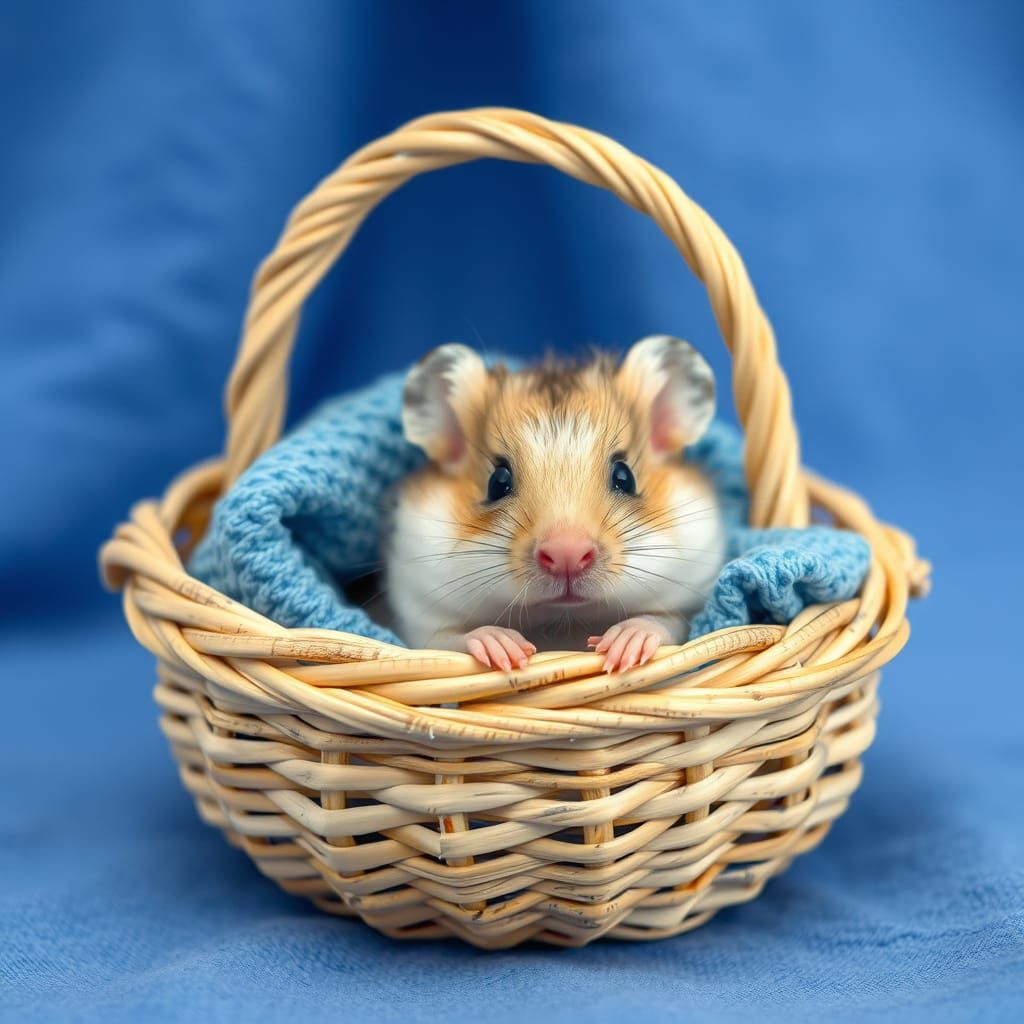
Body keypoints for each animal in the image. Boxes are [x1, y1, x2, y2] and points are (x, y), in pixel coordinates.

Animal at [384, 335, 726, 673]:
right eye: (497, 482)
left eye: (625, 476)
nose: (566, 556)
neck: (564, 620)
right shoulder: (421, 623)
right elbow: (449, 641)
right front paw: (506, 649)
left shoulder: (686, 611)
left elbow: (664, 623)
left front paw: (622, 647)